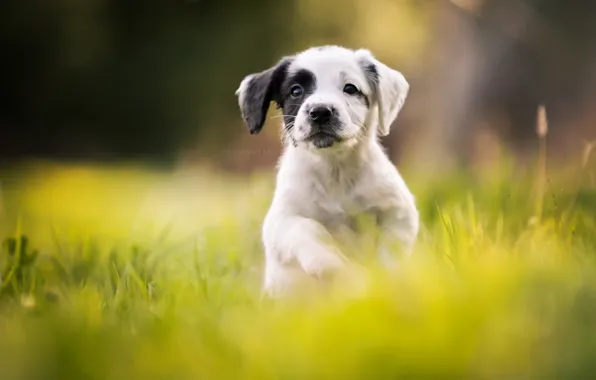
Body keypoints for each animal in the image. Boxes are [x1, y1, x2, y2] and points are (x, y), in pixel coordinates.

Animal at [236, 46, 420, 298]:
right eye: (296, 91)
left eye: (350, 88)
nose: (321, 111)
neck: (335, 171)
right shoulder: (281, 221)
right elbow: (307, 228)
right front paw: (334, 264)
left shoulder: (398, 212)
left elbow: (390, 253)